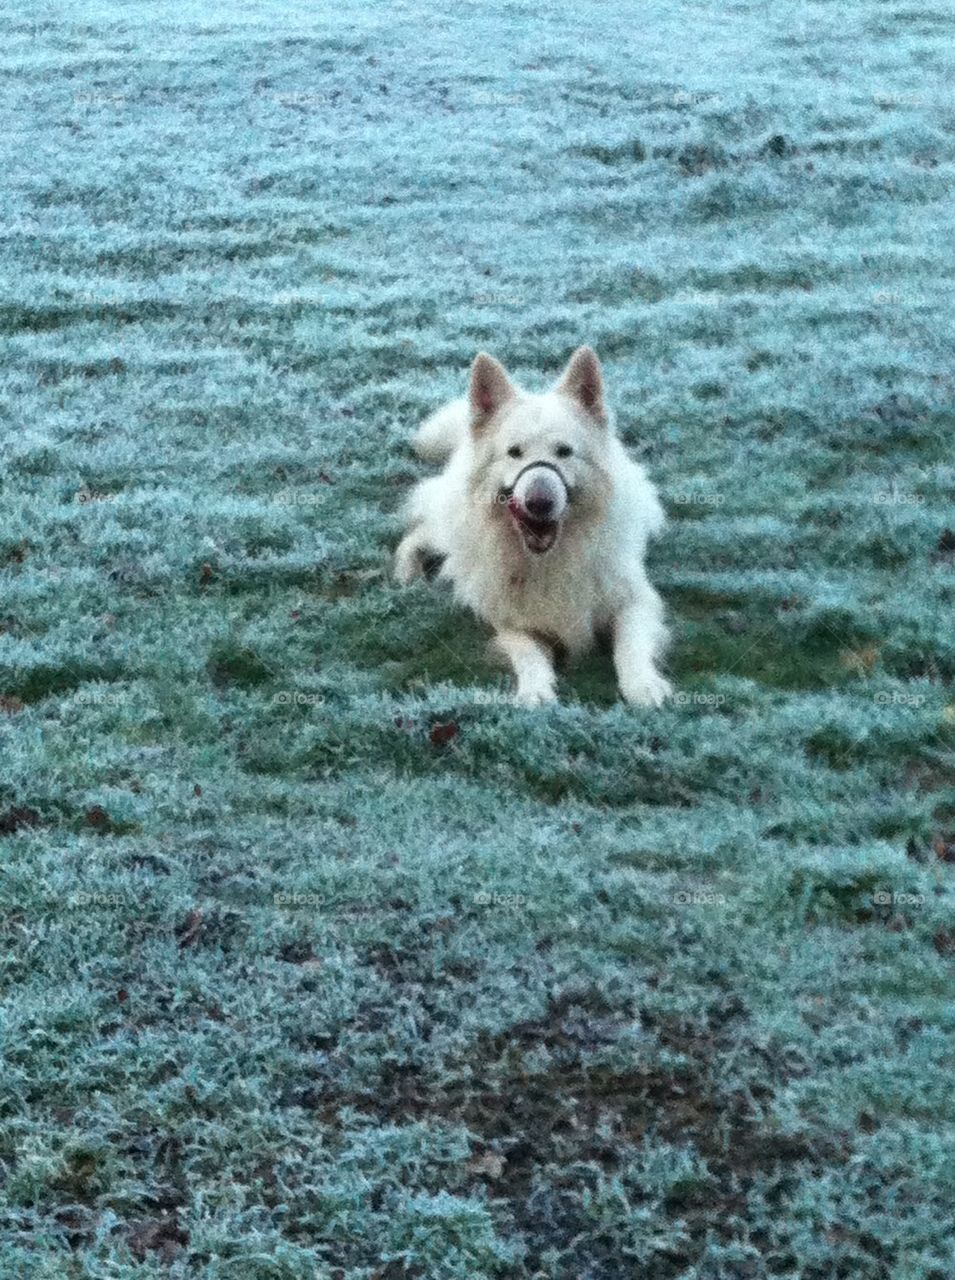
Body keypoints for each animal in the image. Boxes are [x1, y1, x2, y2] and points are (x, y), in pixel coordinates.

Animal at [394, 348, 670, 711]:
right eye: (514, 452)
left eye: (564, 452)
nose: (539, 502)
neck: (549, 559)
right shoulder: (508, 620)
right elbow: (527, 653)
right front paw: (535, 689)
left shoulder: (636, 600)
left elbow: (631, 646)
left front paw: (643, 684)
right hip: (450, 528)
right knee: (418, 533)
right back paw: (405, 573)